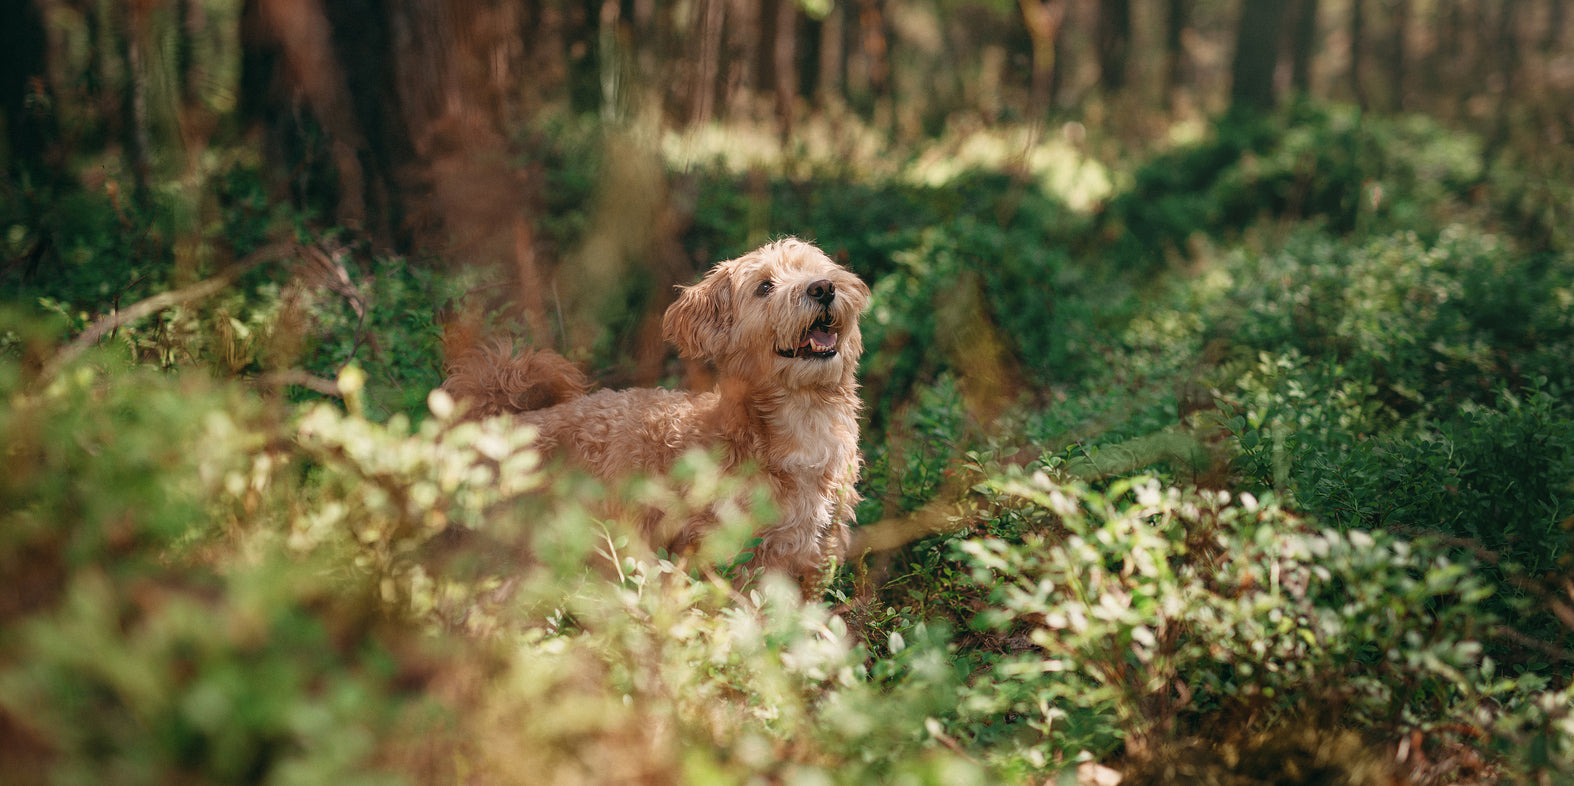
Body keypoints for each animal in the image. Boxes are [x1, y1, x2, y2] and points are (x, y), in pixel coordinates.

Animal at [443, 236, 875, 589]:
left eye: (818, 270)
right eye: (764, 287)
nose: (823, 288)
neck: (801, 419)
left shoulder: (819, 546)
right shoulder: (731, 551)